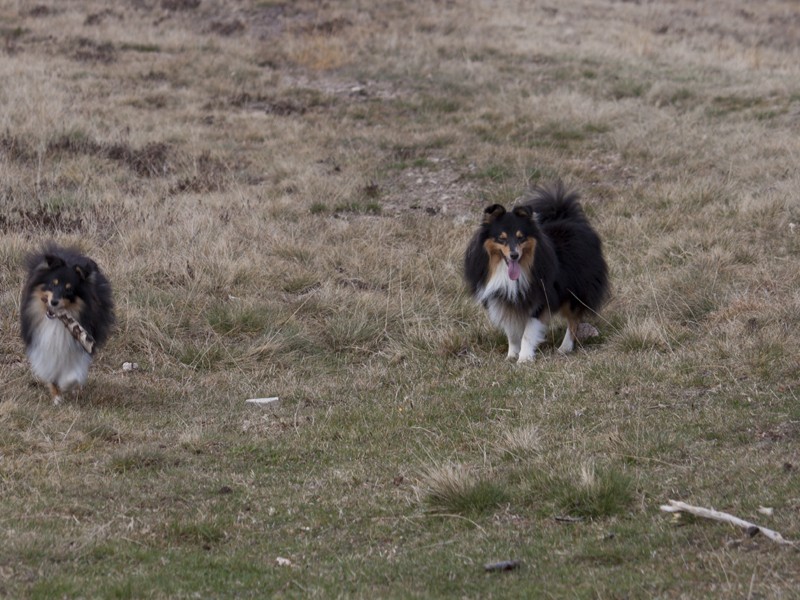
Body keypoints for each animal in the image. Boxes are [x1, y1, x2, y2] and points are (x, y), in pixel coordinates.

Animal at [20, 243, 114, 404]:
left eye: (69, 289)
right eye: (53, 284)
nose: (54, 302)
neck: (55, 322)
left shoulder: (81, 345)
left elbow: (73, 374)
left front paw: (66, 385)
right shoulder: (41, 343)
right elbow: (50, 371)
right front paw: (57, 397)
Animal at [462, 183, 608, 360]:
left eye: (521, 237)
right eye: (502, 238)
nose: (514, 255)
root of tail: (569, 218)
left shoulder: (540, 296)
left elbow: (528, 331)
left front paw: (524, 358)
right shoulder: (502, 298)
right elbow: (511, 331)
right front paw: (511, 355)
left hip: (575, 290)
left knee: (574, 319)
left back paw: (564, 348)